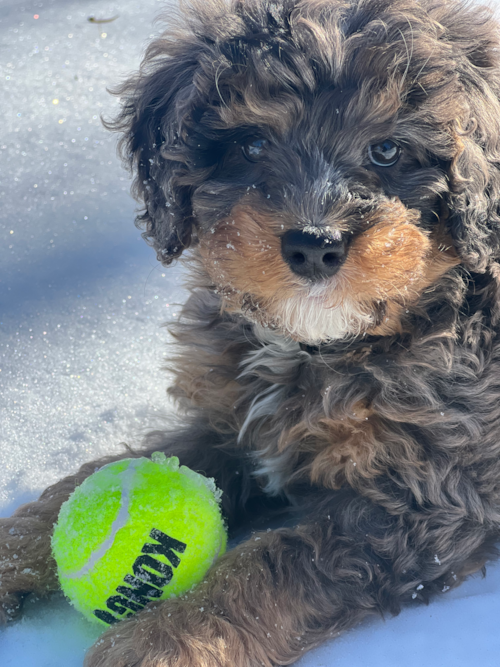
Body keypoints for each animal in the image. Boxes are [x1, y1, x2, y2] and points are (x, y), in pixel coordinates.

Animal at [2, 0, 500, 664]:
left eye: (388, 151)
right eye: (252, 144)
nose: (314, 245)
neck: (312, 346)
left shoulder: (424, 502)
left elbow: (273, 563)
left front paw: (160, 640)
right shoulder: (228, 423)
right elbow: (95, 479)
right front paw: (11, 550)